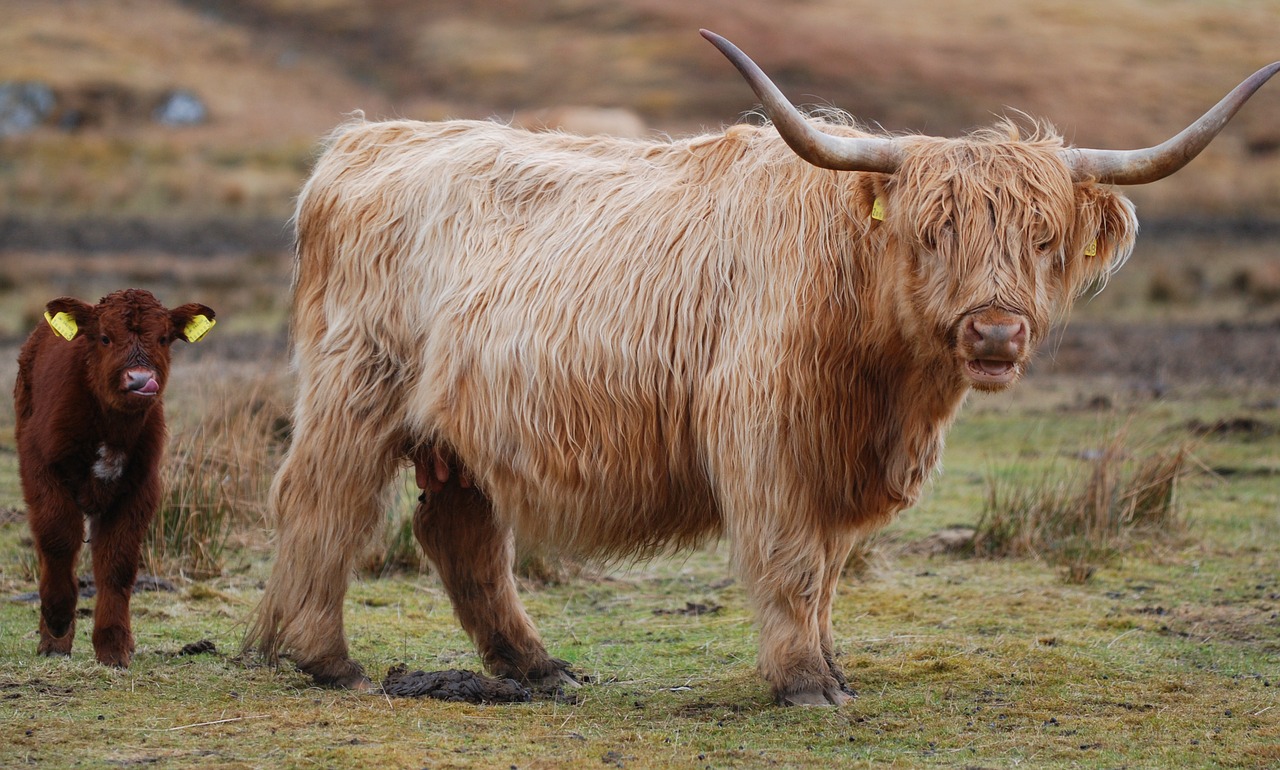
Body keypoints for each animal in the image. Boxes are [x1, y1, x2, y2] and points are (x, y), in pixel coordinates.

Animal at [13, 287, 213, 665]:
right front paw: (58, 619)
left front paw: (114, 646)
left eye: (163, 338)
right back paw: (52, 641)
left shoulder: (140, 487)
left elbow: (117, 563)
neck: (111, 428)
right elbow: (58, 539)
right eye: (105, 337)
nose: (140, 379)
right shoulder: (41, 469)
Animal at [244, 32, 1274, 706]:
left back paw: (535, 668)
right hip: (355, 388)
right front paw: (805, 685)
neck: (889, 386)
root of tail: (365, 140)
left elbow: (830, 568)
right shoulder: (768, 438)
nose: (993, 333)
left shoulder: (843, 463)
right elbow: (792, 563)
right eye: (932, 229)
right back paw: (322, 659)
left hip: (456, 427)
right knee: (321, 502)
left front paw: (833, 669)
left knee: (458, 533)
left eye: (1045, 237)